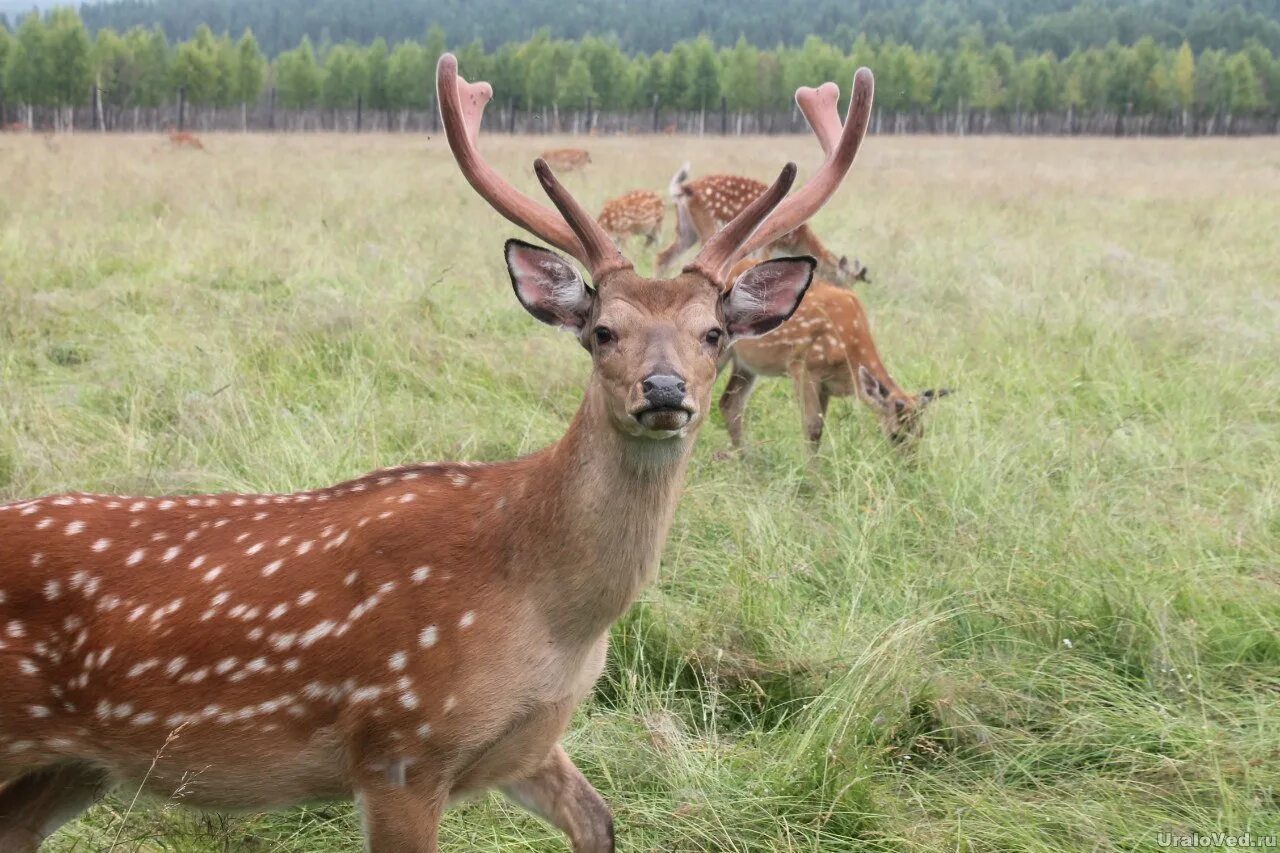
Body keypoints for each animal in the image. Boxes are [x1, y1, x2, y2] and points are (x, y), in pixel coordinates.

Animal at [660, 166, 870, 285]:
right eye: (843, 280)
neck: (796, 241)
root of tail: (684, 189)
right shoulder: (769, 245)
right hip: (707, 228)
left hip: (686, 231)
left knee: (664, 256)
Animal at [721, 256, 952, 450]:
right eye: (896, 435)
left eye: (921, 433)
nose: (910, 466)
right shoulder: (802, 366)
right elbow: (812, 428)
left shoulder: (826, 385)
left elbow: (820, 430)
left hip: (745, 363)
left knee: (730, 403)